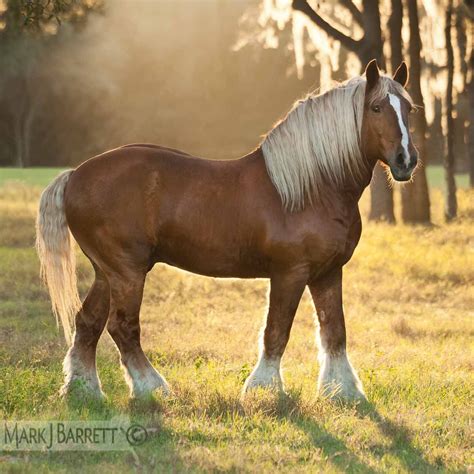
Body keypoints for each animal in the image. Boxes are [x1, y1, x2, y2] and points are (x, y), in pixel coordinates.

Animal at [35, 59, 416, 400]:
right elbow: (276, 331)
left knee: (88, 323)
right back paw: (152, 388)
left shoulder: (328, 272)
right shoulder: (290, 273)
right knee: (122, 326)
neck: (315, 188)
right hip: (127, 271)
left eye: (409, 109)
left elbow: (334, 331)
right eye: (376, 107)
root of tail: (75, 175)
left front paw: (342, 391)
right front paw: (265, 389)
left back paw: (84, 390)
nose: (406, 160)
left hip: (107, 272)